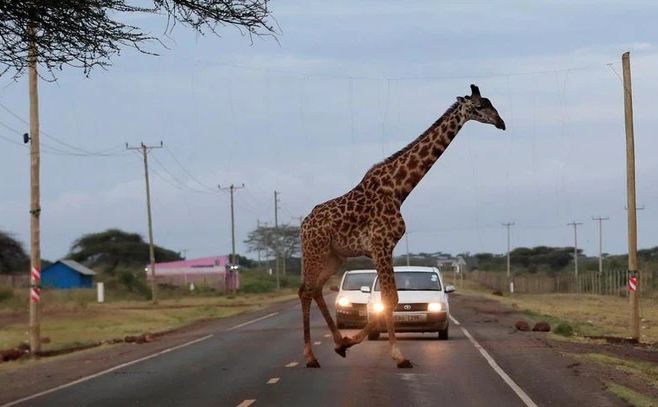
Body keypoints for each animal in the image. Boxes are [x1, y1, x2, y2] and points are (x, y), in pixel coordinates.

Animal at [300, 84, 504, 368]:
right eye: (479, 106)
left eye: (491, 103)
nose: (501, 123)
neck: (398, 189)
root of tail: (304, 224)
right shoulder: (381, 245)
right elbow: (390, 299)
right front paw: (398, 355)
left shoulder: (386, 248)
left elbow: (391, 299)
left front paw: (352, 343)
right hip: (315, 251)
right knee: (305, 290)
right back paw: (311, 357)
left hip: (334, 257)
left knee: (315, 289)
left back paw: (338, 343)